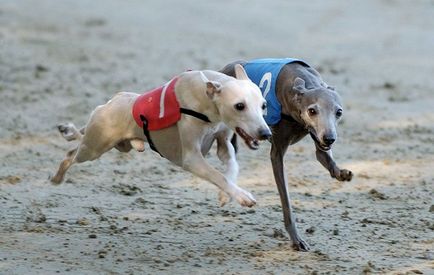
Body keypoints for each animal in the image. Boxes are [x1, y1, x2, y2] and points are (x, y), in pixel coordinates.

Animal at [51, 64, 272, 207]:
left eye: (263, 105)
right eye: (239, 106)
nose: (266, 133)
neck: (207, 100)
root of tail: (112, 101)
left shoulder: (224, 144)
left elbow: (231, 167)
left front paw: (227, 195)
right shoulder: (192, 158)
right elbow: (217, 175)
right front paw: (243, 197)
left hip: (117, 145)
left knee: (79, 138)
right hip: (94, 148)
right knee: (70, 154)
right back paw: (57, 177)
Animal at [220, 59, 352, 252]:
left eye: (339, 112)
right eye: (312, 111)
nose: (329, 139)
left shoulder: (318, 140)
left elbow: (323, 156)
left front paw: (342, 173)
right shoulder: (277, 154)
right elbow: (286, 202)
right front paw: (296, 239)